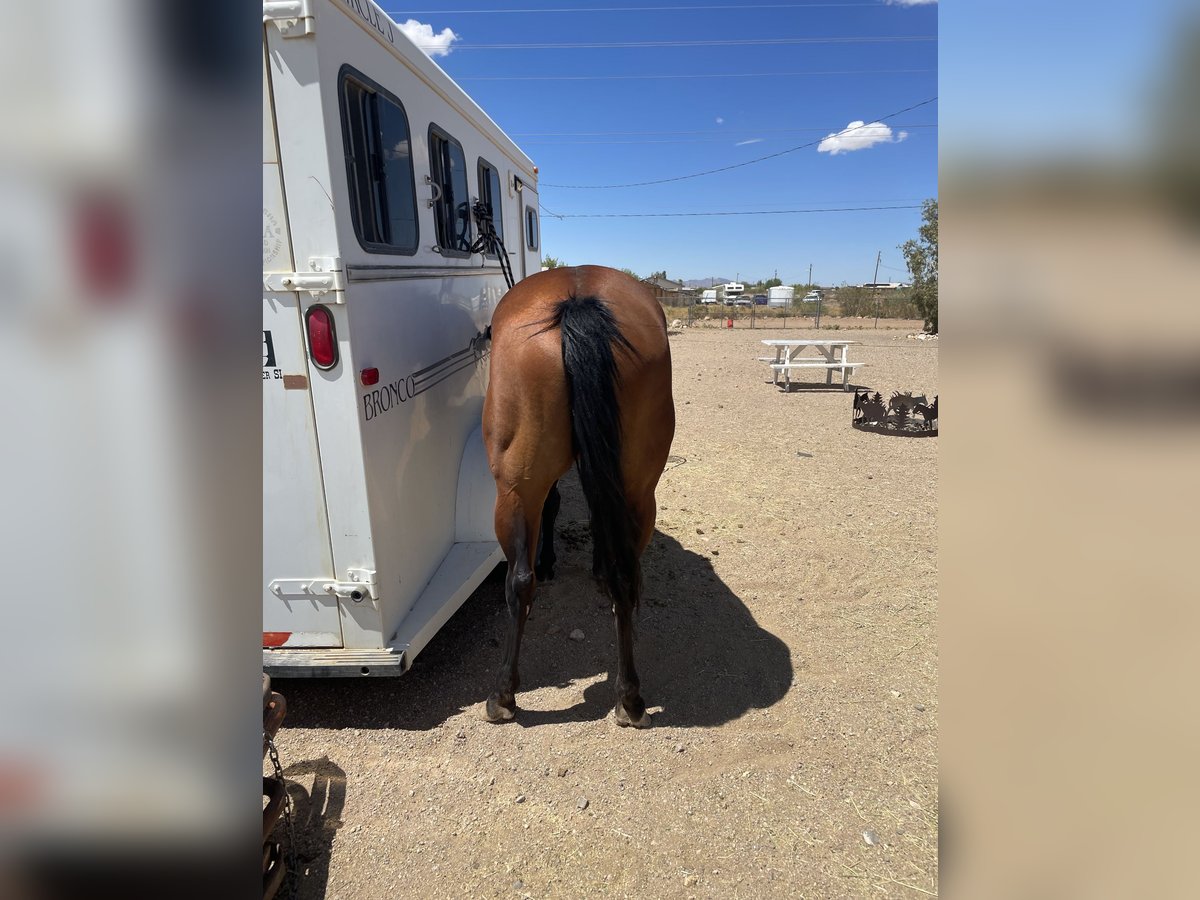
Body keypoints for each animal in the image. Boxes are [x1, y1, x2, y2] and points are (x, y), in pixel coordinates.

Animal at [482, 264, 681, 729]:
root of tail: (577, 301)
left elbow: (554, 507)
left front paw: (550, 561)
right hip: (637, 492)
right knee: (622, 574)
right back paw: (630, 698)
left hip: (513, 492)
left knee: (520, 580)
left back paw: (504, 696)